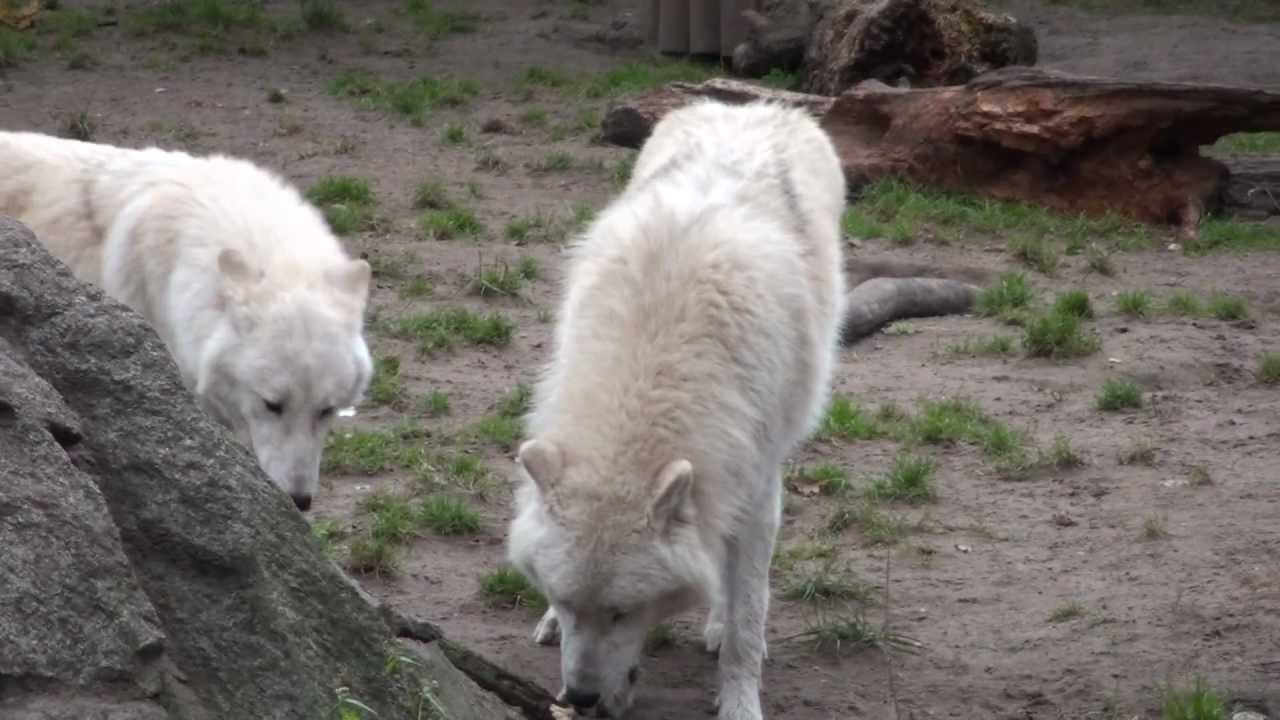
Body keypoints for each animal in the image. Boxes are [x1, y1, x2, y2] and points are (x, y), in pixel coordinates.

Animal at [505, 99, 847, 720]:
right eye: (566, 601)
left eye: (622, 612)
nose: (581, 697)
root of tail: (750, 105)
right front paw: (551, 623)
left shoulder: (753, 487)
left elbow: (748, 615)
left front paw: (739, 699)